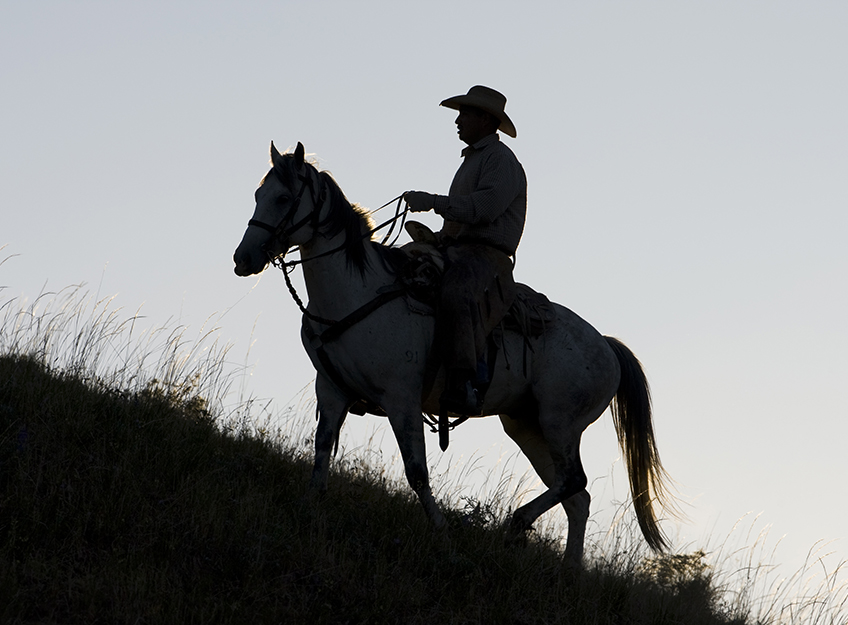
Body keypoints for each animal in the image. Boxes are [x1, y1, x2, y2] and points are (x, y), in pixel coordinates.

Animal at [234, 141, 676, 564]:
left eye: (283, 197)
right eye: (258, 193)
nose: (243, 259)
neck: (356, 294)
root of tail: (606, 345)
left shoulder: (401, 400)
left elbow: (417, 472)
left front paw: (443, 535)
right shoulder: (331, 389)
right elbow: (322, 451)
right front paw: (309, 508)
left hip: (560, 422)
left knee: (574, 483)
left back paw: (516, 524)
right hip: (527, 425)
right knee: (576, 499)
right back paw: (567, 570)